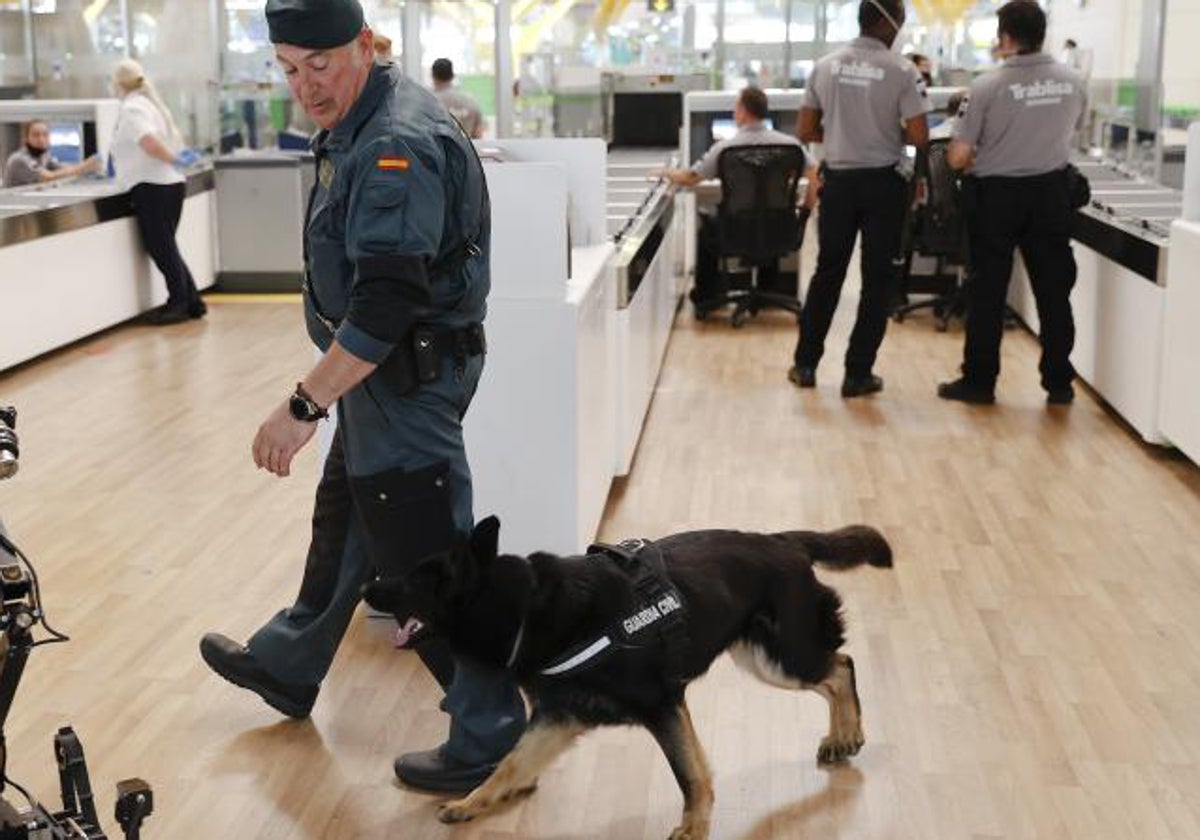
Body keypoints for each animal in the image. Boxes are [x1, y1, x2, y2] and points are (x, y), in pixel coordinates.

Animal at [364, 516, 892, 835]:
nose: (368, 586)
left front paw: (694, 826)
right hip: (764, 659)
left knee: (841, 667)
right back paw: (842, 737)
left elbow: (689, 773)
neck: (528, 607)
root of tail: (782, 541)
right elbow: (512, 763)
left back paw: (847, 735)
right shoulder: (559, 717)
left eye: (412, 580)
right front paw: (475, 800)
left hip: (783, 659)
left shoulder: (662, 706)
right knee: (836, 670)